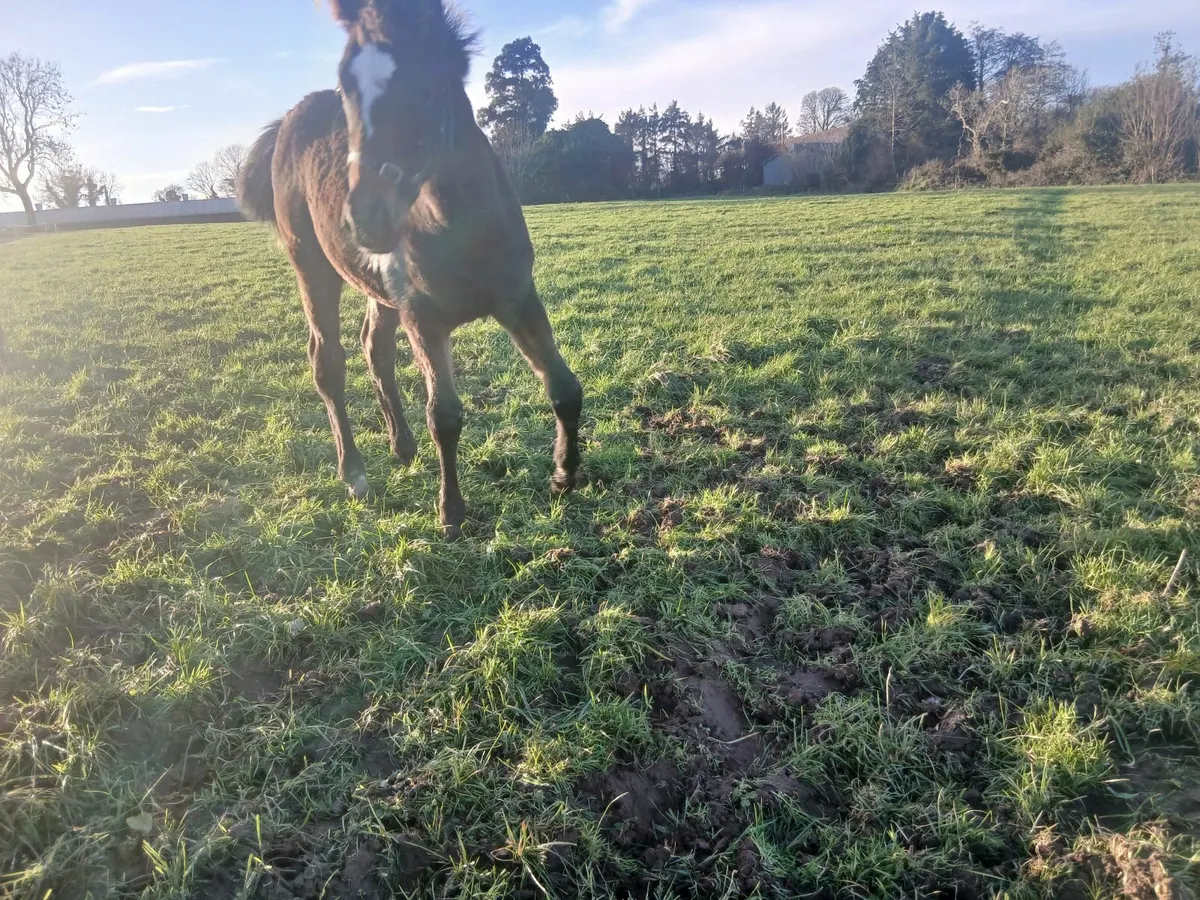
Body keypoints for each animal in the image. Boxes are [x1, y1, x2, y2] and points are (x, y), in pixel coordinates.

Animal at [237, 0, 583, 540]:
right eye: (347, 83)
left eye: (428, 85)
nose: (366, 217)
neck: (460, 226)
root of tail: (288, 120)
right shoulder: (424, 318)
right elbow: (444, 414)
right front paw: (451, 513)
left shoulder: (518, 297)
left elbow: (564, 386)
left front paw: (564, 475)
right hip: (311, 266)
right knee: (327, 360)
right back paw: (354, 473)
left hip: (381, 290)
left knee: (374, 347)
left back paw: (401, 444)